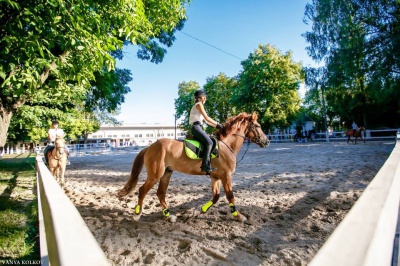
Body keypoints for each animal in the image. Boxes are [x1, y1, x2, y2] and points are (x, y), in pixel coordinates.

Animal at [119, 111, 268, 222]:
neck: (226, 145)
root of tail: (150, 146)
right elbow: (230, 196)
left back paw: (169, 216)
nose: (266, 141)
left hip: (167, 173)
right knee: (142, 191)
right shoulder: (226, 176)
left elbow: (215, 197)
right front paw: (239, 216)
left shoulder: (215, 177)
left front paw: (198, 212)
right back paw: (137, 215)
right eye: (257, 126)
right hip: (155, 175)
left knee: (160, 193)